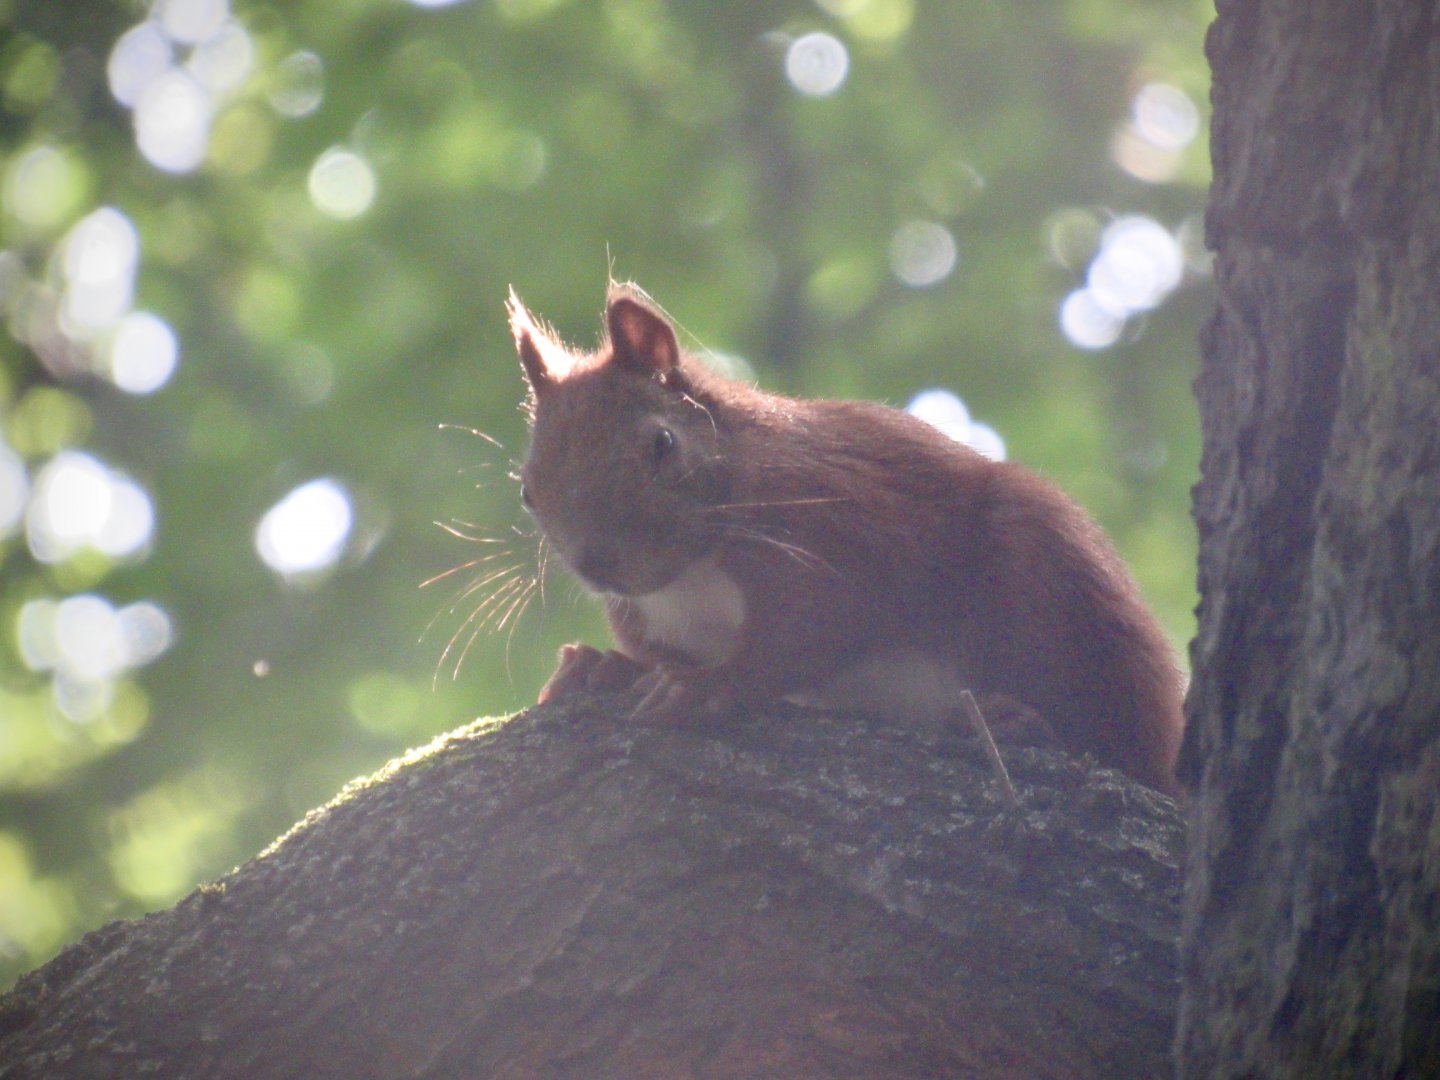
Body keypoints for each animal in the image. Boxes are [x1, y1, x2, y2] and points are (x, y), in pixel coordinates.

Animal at [505, 284, 1185, 795]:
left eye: (663, 444)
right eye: (528, 493)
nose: (600, 563)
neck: (694, 574)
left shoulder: (841, 532)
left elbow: (806, 636)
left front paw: (710, 686)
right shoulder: (651, 617)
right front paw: (604, 667)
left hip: (1050, 573)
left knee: (1115, 739)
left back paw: (1022, 722)